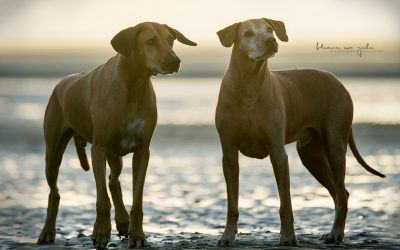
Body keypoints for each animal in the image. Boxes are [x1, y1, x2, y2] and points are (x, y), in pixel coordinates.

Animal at [36, 22, 196, 248]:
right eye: (150, 41)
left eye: (170, 39)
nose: (175, 61)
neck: (134, 83)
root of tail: (61, 83)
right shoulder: (99, 148)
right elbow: (102, 199)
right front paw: (101, 232)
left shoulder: (142, 151)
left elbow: (137, 200)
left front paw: (138, 235)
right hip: (53, 153)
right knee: (54, 193)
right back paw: (48, 232)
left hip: (114, 154)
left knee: (113, 181)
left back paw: (122, 221)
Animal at [216, 18, 384, 247]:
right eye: (248, 33)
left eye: (269, 30)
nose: (271, 40)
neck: (249, 83)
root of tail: (337, 80)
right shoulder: (229, 155)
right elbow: (232, 204)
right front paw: (227, 236)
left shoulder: (278, 153)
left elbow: (286, 203)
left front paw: (288, 237)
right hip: (311, 156)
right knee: (340, 193)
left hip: (335, 145)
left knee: (341, 192)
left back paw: (336, 233)